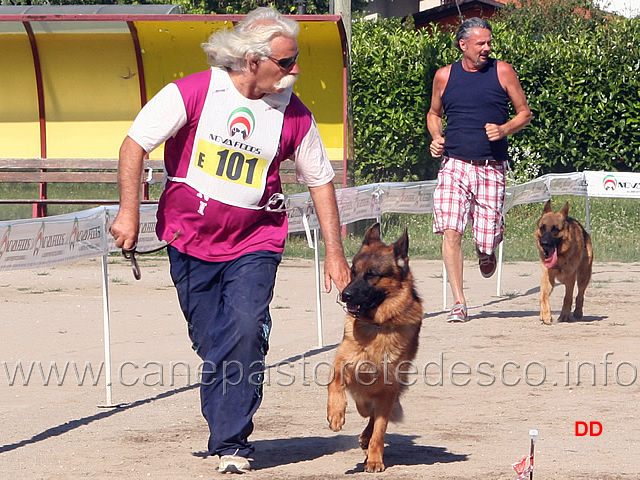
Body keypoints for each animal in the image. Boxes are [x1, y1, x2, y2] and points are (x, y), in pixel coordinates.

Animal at [328, 224, 422, 472]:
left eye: (371, 274)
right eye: (353, 272)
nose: (345, 294)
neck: (378, 325)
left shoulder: (388, 388)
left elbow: (379, 428)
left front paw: (374, 459)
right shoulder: (344, 362)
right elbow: (337, 383)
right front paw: (336, 413)